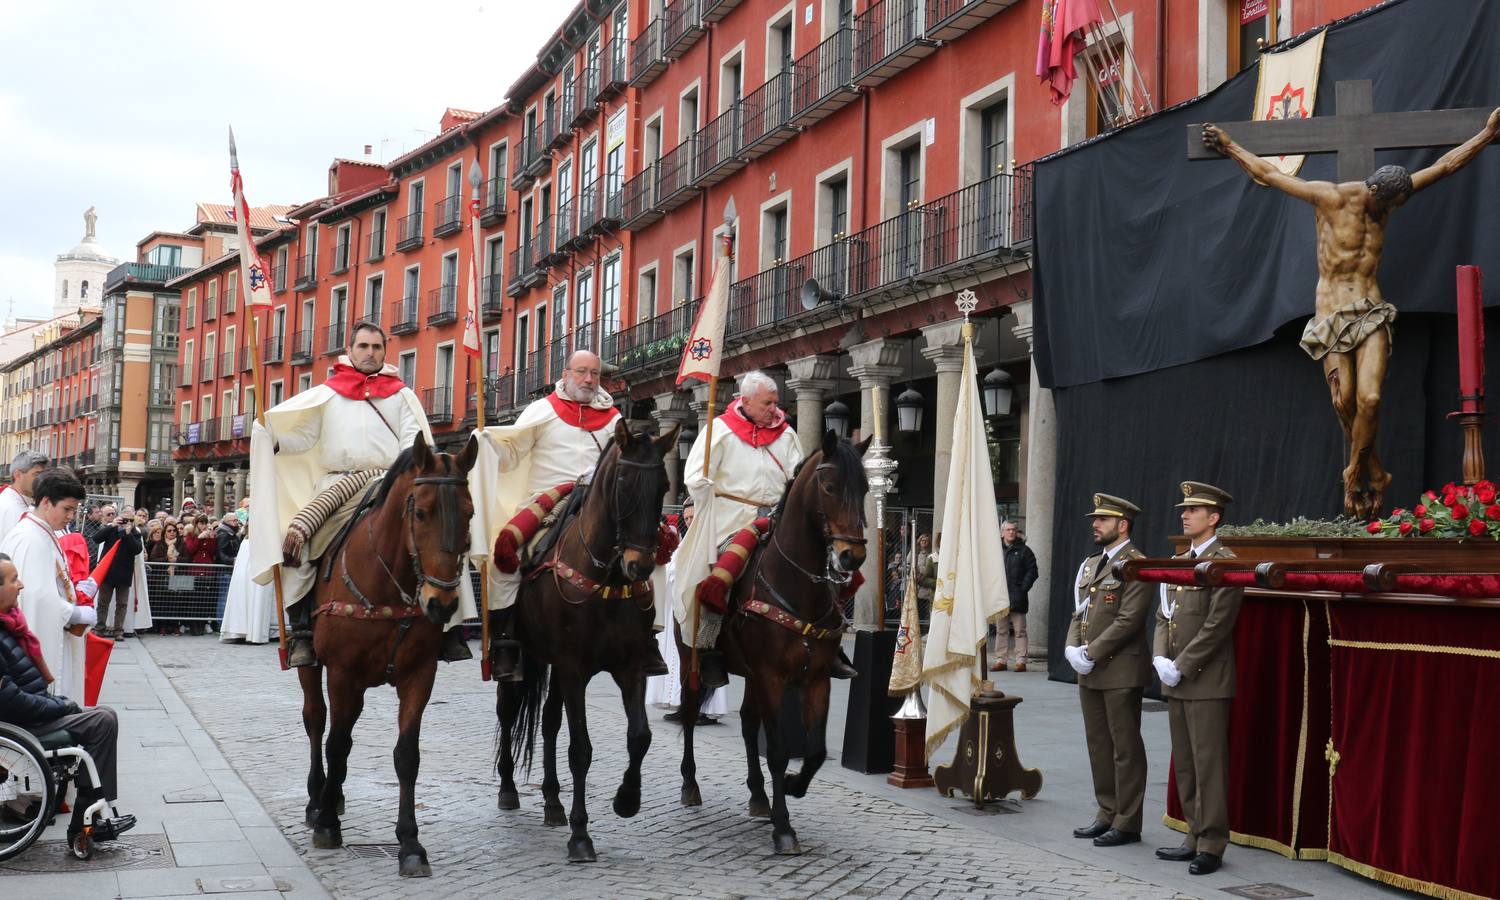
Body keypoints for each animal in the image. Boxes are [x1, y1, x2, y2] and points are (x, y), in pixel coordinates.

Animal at [297, 432, 474, 876]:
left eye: (470, 512)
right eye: (422, 513)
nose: (442, 604)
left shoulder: (419, 674)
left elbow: (406, 755)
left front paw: (410, 843)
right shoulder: (342, 673)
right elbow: (336, 744)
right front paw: (327, 824)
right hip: (313, 668)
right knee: (316, 721)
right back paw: (317, 798)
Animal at [495, 417, 678, 864]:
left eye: (664, 486)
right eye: (624, 484)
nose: (639, 565)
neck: (606, 577)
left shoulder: (629, 667)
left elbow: (639, 737)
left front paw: (627, 800)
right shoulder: (574, 668)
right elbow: (581, 748)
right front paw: (581, 835)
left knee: (548, 724)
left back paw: (552, 802)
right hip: (524, 658)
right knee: (508, 714)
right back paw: (509, 790)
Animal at [678, 432, 876, 852]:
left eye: (866, 488)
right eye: (829, 486)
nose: (851, 556)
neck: (798, 587)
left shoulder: (815, 680)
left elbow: (815, 752)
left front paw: (791, 787)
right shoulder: (771, 678)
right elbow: (780, 751)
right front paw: (784, 827)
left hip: (752, 676)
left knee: (748, 724)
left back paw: (758, 796)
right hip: (693, 661)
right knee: (688, 713)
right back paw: (690, 784)